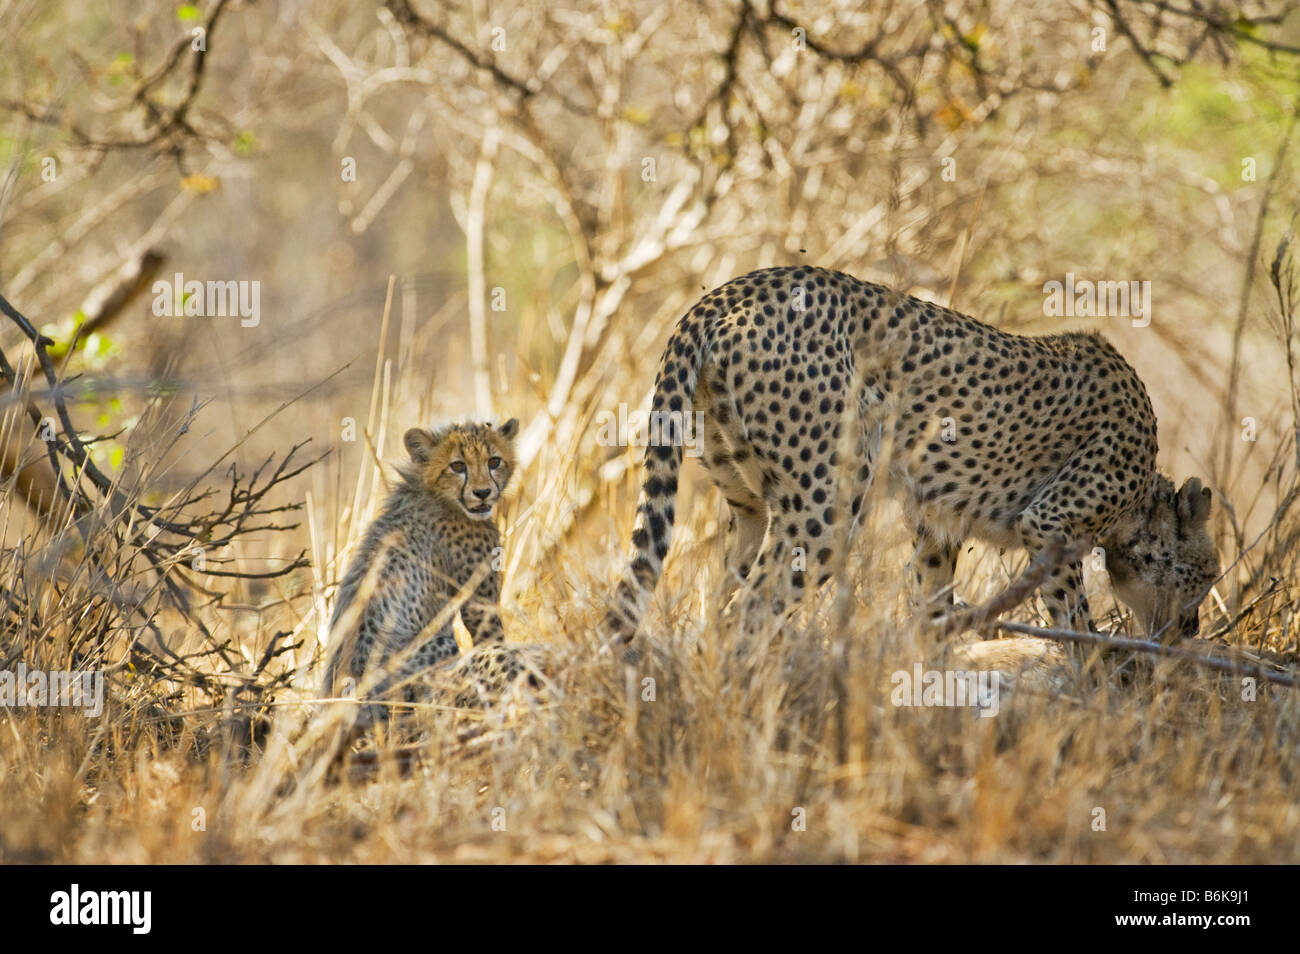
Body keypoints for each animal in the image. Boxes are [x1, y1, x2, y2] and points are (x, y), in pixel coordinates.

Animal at [322, 418, 520, 722]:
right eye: (458, 466)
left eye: (494, 461)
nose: (483, 493)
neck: (435, 493)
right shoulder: (480, 610)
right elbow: (495, 645)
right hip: (435, 649)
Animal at [608, 265, 1216, 647]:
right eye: (1207, 576)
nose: (1190, 630)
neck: (1142, 502)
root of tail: (731, 290)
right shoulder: (1052, 525)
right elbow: (1078, 627)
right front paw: (1096, 695)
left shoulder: (935, 528)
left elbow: (932, 608)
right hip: (827, 508)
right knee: (749, 613)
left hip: (751, 506)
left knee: (718, 605)